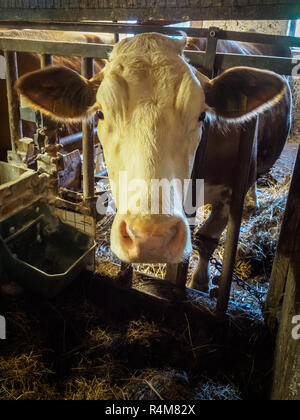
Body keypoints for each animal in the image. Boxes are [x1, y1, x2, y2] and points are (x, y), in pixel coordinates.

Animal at [15, 32, 292, 294]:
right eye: (101, 113)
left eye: (201, 115)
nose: (152, 237)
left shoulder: (232, 190)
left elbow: (207, 240)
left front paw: (200, 283)